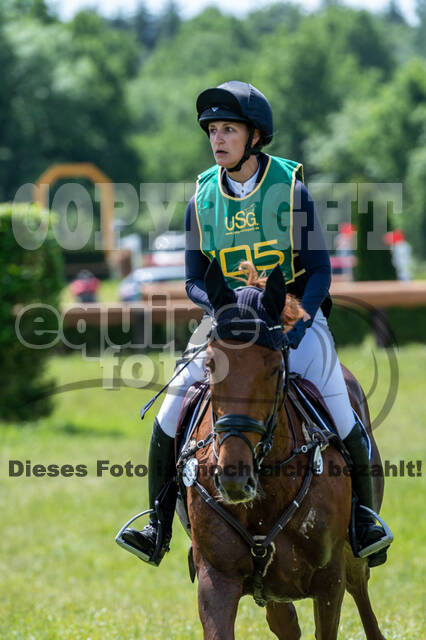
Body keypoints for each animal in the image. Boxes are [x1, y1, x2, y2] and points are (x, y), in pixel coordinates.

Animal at [179, 259, 387, 640]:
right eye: (211, 365)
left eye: (276, 369)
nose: (234, 478)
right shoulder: (216, 579)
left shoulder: (329, 579)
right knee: (283, 619)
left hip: (352, 556)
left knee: (360, 589)